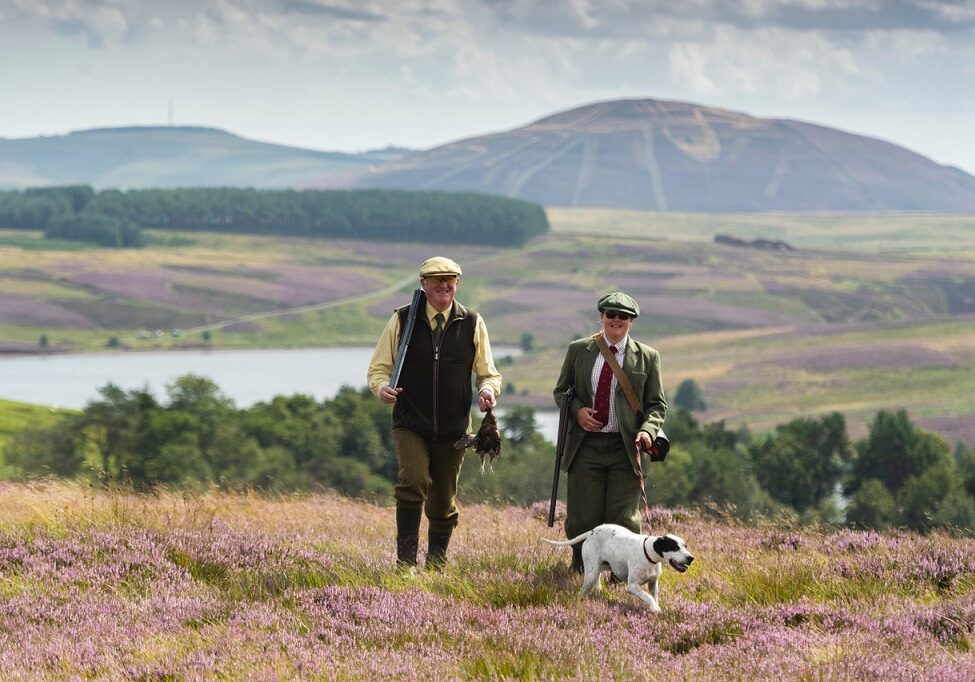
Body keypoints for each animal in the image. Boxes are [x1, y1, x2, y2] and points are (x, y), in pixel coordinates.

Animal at [540, 520, 692, 612]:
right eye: (675, 547)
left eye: (685, 546)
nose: (691, 558)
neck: (649, 554)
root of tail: (592, 531)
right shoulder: (632, 586)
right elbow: (648, 597)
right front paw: (655, 608)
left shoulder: (653, 584)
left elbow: (652, 596)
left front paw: (655, 607)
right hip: (590, 575)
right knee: (583, 590)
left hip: (601, 568)